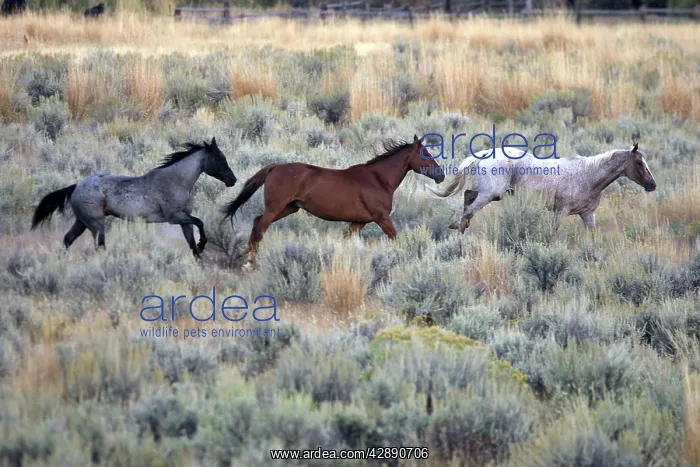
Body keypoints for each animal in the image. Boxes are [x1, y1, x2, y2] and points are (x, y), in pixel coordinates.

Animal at [31, 138, 237, 258]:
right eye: (219, 158)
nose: (233, 180)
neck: (176, 180)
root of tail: (76, 186)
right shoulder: (175, 218)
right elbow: (200, 222)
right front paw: (203, 245)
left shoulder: (183, 220)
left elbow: (192, 243)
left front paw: (199, 256)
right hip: (96, 224)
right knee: (99, 246)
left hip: (82, 222)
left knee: (68, 239)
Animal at [221, 135, 445, 268]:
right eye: (425, 154)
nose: (441, 175)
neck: (378, 179)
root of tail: (274, 167)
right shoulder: (381, 218)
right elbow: (395, 238)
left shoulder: (358, 222)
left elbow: (346, 241)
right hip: (276, 208)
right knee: (260, 228)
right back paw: (250, 262)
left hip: (288, 208)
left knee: (257, 221)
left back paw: (242, 253)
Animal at [426, 143, 656, 233]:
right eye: (638, 163)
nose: (652, 185)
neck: (588, 176)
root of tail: (485, 154)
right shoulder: (561, 212)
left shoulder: (588, 214)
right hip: (490, 194)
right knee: (469, 208)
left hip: (491, 194)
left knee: (467, 197)